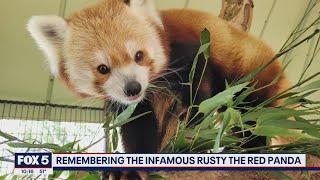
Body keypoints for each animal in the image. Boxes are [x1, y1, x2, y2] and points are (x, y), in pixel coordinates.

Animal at [28, 0, 290, 179]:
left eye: (138, 55)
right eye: (103, 68)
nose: (132, 88)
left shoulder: (192, 48)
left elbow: (200, 87)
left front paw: (190, 130)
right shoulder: (127, 104)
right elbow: (137, 125)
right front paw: (132, 167)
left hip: (255, 74)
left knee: (253, 115)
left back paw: (248, 148)